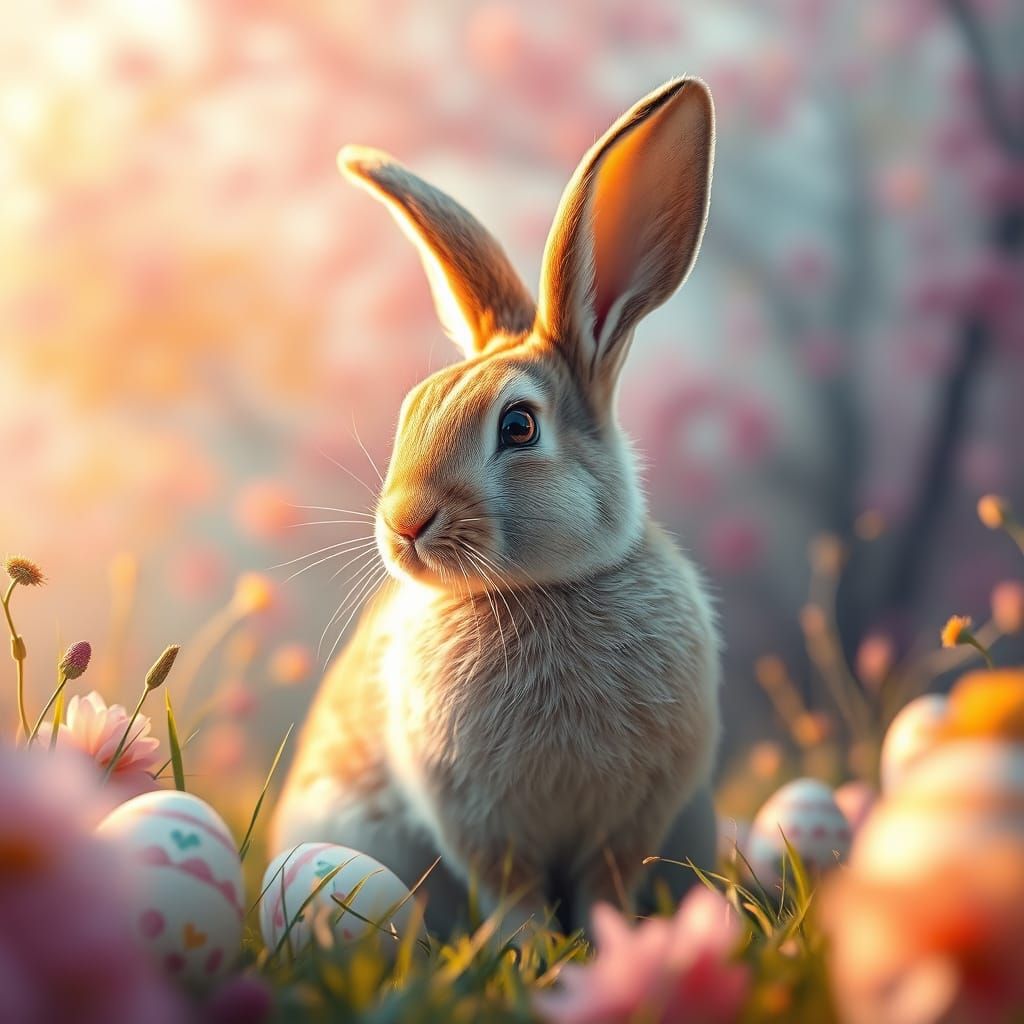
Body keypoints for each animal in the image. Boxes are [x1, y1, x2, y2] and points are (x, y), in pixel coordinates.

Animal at [271, 77, 721, 938]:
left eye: (518, 427)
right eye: (411, 409)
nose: (404, 524)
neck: (537, 590)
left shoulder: (628, 823)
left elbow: (604, 887)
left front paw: (608, 943)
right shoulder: (479, 821)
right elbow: (513, 897)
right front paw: (532, 950)